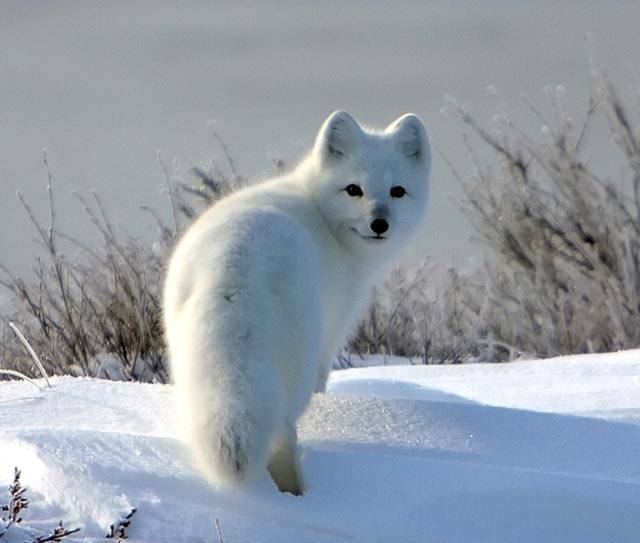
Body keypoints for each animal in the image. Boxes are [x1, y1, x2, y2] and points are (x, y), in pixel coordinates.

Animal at [162, 111, 432, 498]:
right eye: (354, 189)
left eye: (398, 191)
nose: (379, 223)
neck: (320, 213)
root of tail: (233, 268)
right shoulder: (332, 332)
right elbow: (324, 381)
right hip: (299, 362)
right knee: (284, 430)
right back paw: (294, 488)